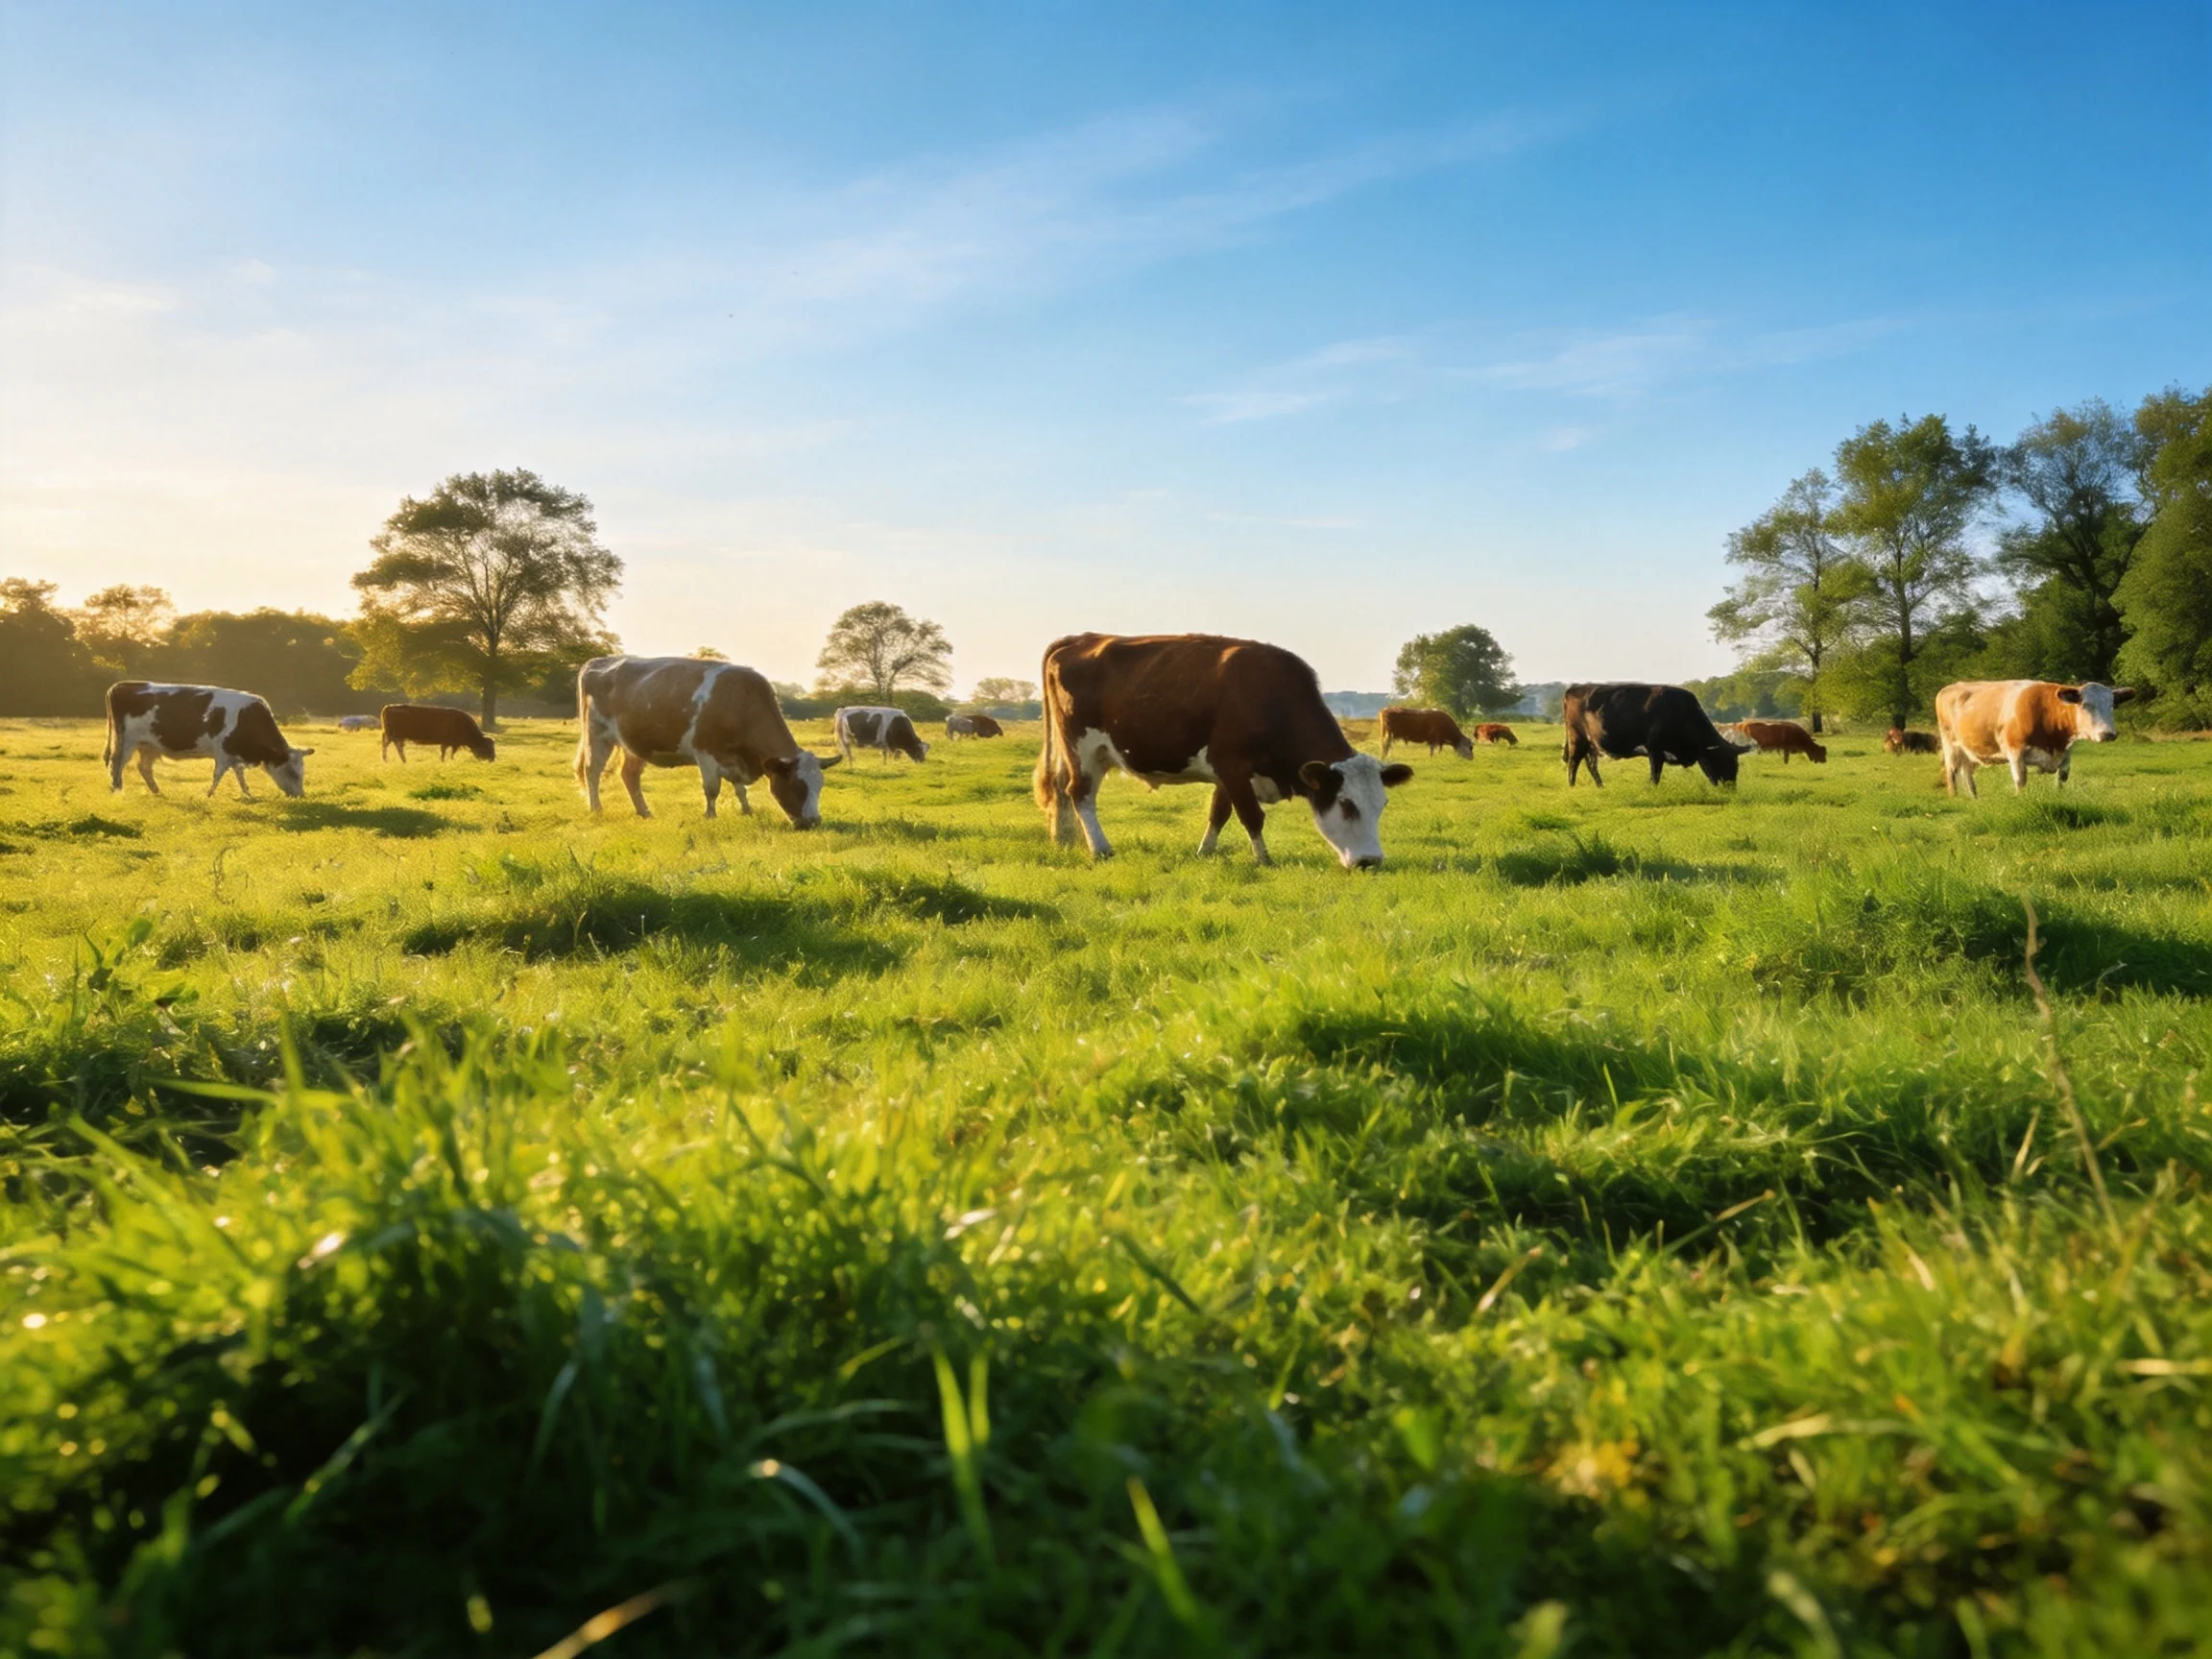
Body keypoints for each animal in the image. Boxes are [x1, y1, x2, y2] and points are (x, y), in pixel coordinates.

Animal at [104, 681, 313, 799]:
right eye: (293, 773)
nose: (300, 796)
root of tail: (121, 685)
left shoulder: (233, 754)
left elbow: (239, 774)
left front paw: (248, 794)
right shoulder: (222, 752)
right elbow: (218, 775)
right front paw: (209, 795)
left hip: (149, 745)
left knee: (144, 767)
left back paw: (157, 792)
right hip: (126, 741)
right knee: (116, 764)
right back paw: (117, 790)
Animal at [574, 655, 839, 825]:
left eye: (820, 786)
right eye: (797, 785)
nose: (814, 822)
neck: (741, 703)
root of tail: (597, 661)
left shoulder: (734, 760)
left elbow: (740, 789)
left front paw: (747, 811)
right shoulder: (706, 754)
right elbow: (712, 789)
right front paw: (710, 816)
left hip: (634, 744)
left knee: (629, 775)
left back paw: (645, 813)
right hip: (597, 734)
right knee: (592, 770)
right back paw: (596, 809)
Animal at [1035, 632, 1414, 870]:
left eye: (1382, 805)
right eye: (1347, 805)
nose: (1370, 862)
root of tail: (1081, 638)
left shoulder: (1227, 774)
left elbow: (1219, 812)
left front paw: (1205, 852)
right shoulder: (1231, 764)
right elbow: (1251, 815)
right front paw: (1264, 860)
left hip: (1093, 754)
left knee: (1066, 793)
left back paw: (1067, 841)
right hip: (1082, 747)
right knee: (1080, 794)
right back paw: (1101, 849)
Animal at [1561, 683, 1740, 788]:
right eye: (1724, 760)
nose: (1731, 788)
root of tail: (1575, 687)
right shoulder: (1654, 749)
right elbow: (1655, 774)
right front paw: (1653, 790)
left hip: (1592, 744)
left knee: (1591, 765)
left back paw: (1601, 787)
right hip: (1577, 739)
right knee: (1573, 763)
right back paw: (1572, 787)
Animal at [1933, 680, 2136, 797]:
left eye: (2112, 705)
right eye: (2085, 705)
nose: (2108, 734)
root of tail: (1953, 686)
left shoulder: (2066, 751)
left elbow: (2063, 776)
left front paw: (2059, 795)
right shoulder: (2015, 750)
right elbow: (2021, 780)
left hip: (1970, 750)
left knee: (1967, 770)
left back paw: (1975, 798)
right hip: (1950, 744)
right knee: (1951, 771)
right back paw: (1955, 798)